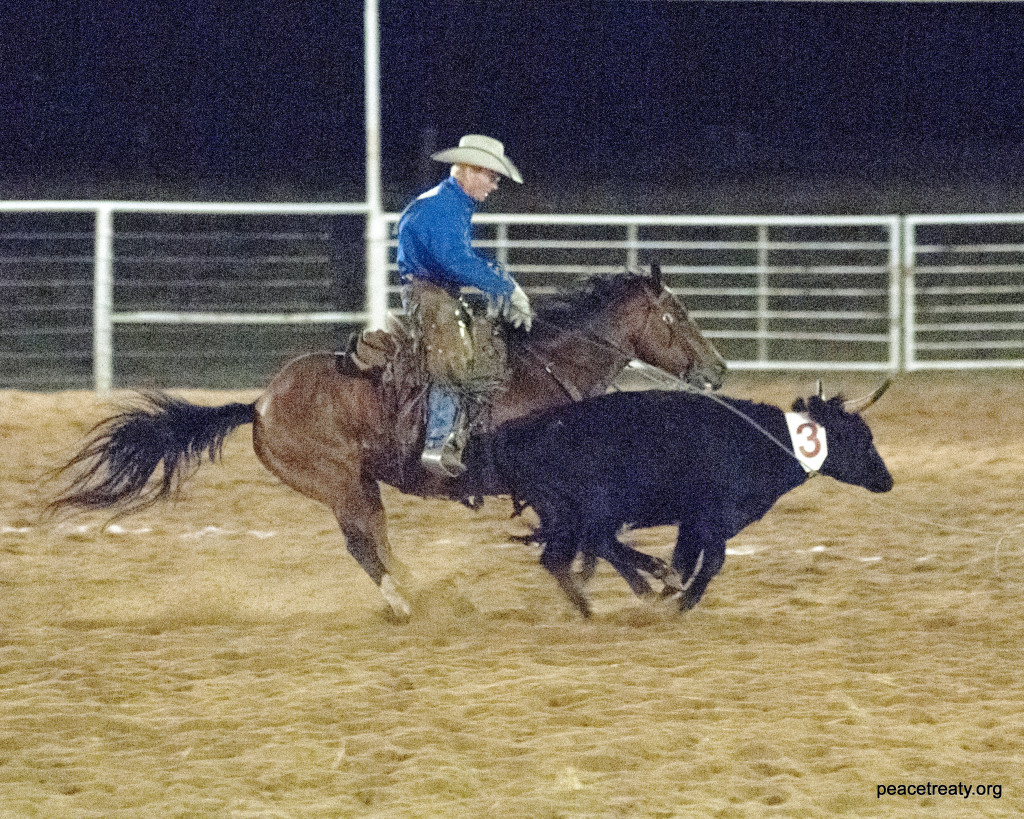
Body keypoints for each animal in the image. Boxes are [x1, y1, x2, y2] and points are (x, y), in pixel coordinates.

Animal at [46, 266, 720, 618]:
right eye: (677, 316)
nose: (716, 371)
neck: (544, 374)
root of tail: (259, 403)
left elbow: (600, 534)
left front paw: (650, 582)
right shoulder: (553, 491)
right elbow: (598, 535)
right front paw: (654, 582)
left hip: (361, 485)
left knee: (379, 541)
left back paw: (420, 592)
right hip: (339, 484)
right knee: (363, 546)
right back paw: (405, 604)